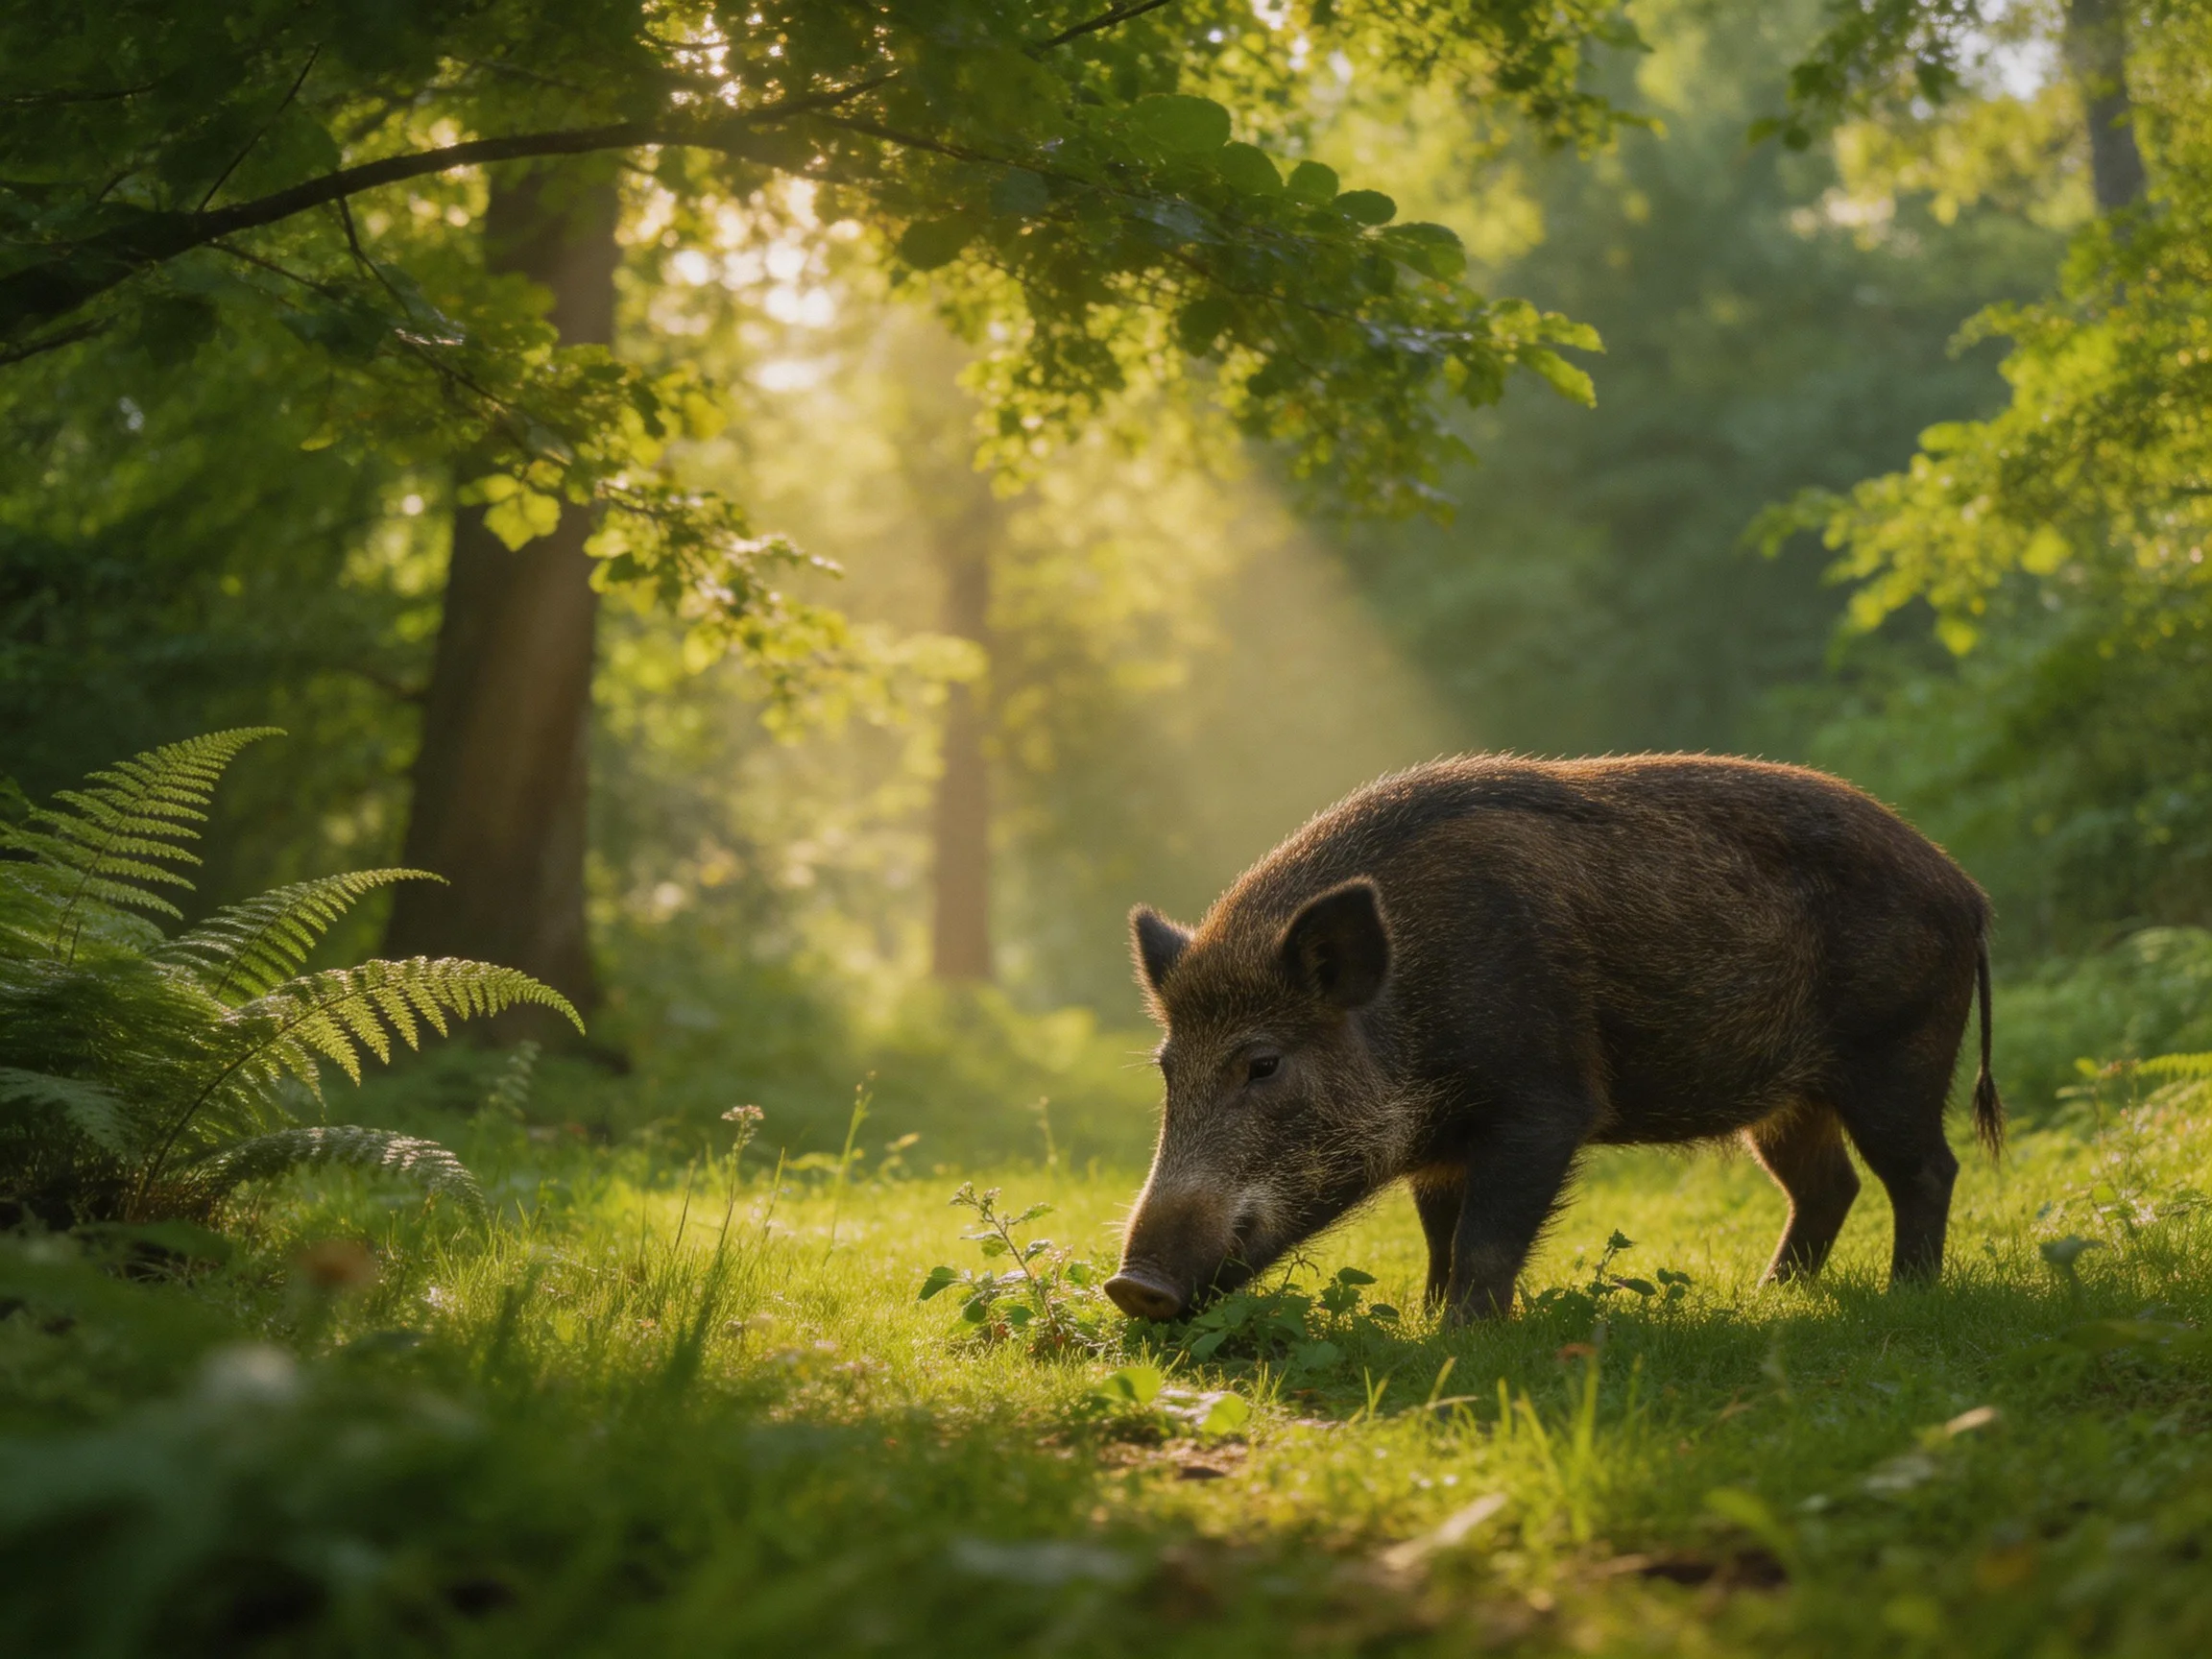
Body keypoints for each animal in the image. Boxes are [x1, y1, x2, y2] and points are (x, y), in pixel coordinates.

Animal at [1103, 755, 2001, 1324]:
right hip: (1788, 1101)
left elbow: (1487, 1237)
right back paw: (1767, 1298)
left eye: (1263, 1063)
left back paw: (1906, 1297)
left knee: (1926, 1170)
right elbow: (1439, 1233)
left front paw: (1463, 1338)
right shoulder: (1440, 1147)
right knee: (1827, 1186)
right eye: (1168, 1069)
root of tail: (1967, 891)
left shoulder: (1544, 1102)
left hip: (1899, 1054)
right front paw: (1425, 1320)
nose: (1132, 1285)